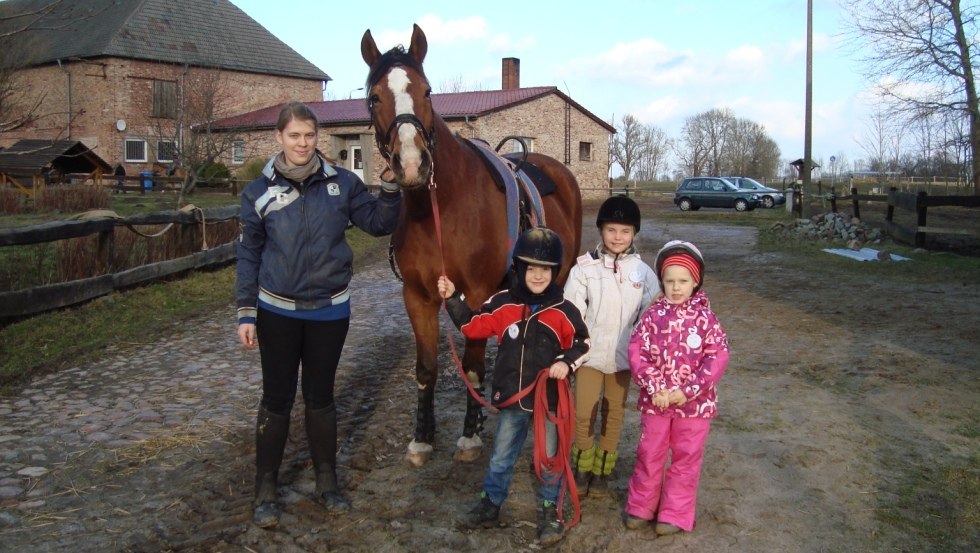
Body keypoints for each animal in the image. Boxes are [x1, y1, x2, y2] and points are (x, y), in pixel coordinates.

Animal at [362, 25, 580, 466]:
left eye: (428, 91)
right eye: (374, 97)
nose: (413, 165)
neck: (440, 210)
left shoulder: (477, 294)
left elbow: (474, 365)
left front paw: (469, 435)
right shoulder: (418, 296)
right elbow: (426, 369)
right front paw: (422, 437)